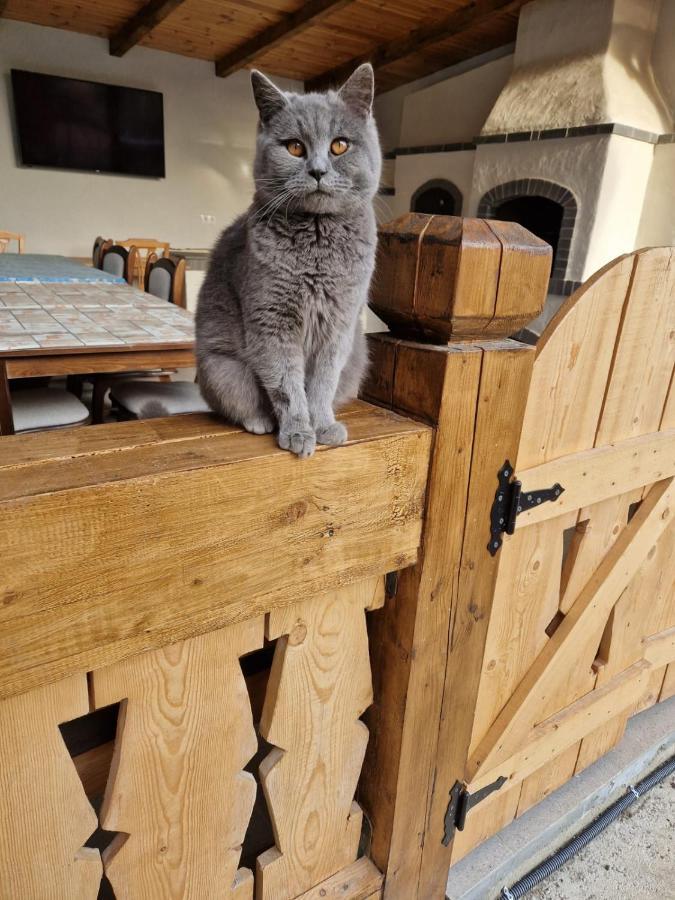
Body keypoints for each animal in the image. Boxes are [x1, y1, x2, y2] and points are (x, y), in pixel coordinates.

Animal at [198, 65, 382, 458]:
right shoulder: (272, 321)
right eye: (295, 147)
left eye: (339, 145)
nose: (318, 171)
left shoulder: (339, 325)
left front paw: (323, 426)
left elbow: (322, 383)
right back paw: (260, 421)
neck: (318, 241)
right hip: (222, 369)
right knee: (242, 403)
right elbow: (286, 384)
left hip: (357, 360)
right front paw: (298, 432)